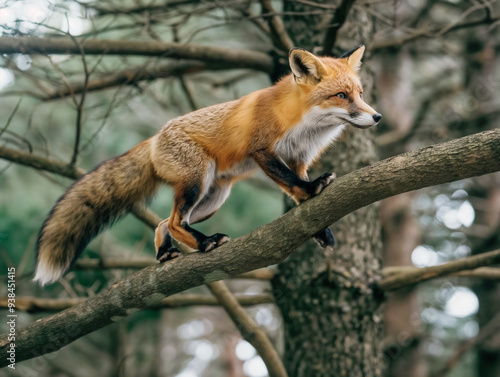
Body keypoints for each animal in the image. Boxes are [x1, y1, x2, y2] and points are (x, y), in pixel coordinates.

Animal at [33, 44, 380, 284]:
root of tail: (155, 138)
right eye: (341, 95)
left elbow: (299, 199)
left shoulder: (298, 158)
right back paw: (205, 243)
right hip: (196, 182)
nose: (377, 117)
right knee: (175, 222)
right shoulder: (262, 151)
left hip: (213, 198)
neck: (304, 125)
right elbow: (294, 184)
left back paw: (166, 252)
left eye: (361, 93)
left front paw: (320, 228)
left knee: (163, 222)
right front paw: (314, 189)